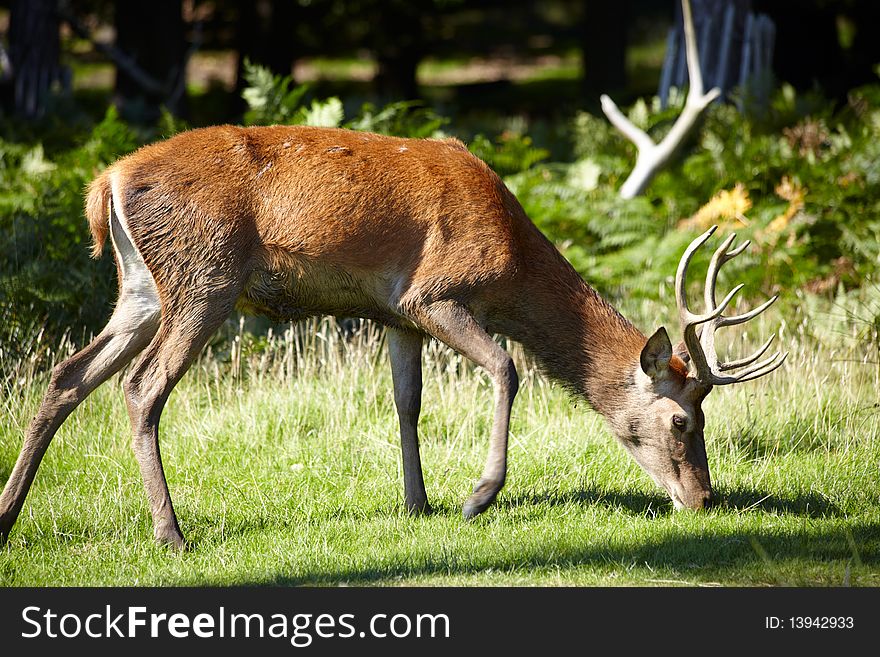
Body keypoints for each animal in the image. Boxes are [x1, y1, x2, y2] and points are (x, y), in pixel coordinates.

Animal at [0, 125, 784, 544]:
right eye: (683, 420)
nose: (703, 499)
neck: (512, 263)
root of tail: (104, 181)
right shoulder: (431, 292)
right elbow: (507, 368)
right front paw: (477, 495)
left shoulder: (394, 316)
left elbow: (407, 404)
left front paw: (418, 502)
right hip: (204, 277)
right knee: (140, 388)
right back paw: (171, 532)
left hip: (139, 287)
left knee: (68, 375)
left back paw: (8, 515)